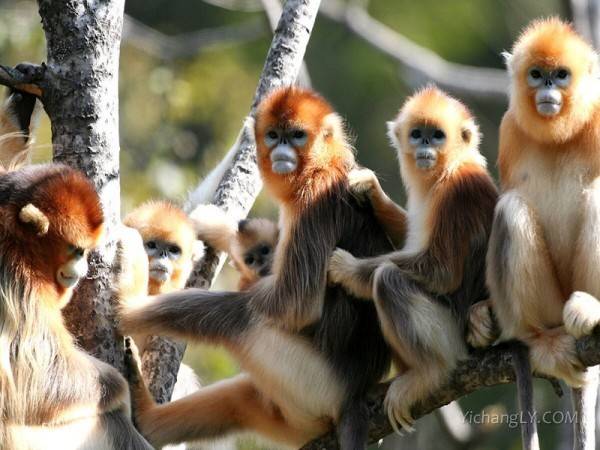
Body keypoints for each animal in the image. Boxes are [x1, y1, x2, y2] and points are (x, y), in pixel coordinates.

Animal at [0, 163, 152, 448]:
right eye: (77, 250)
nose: (81, 271)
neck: (16, 240)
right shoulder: (21, 283)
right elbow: (36, 380)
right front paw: (123, 390)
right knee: (111, 422)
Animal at [120, 87, 396, 450]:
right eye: (273, 135)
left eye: (297, 135)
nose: (281, 151)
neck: (324, 165)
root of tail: (354, 396)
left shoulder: (313, 200)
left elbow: (295, 305)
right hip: (292, 412)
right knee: (236, 400)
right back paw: (148, 419)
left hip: (314, 384)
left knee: (240, 318)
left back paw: (125, 309)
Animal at [326, 85, 500, 432]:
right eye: (417, 134)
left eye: (437, 136)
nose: (424, 146)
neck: (447, 169)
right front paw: (370, 188)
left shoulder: (458, 194)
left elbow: (442, 272)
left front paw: (346, 268)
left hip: (449, 335)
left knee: (387, 280)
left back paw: (427, 375)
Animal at [486, 17, 600, 450]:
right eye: (536, 74)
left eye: (561, 75)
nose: (547, 90)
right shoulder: (508, 129)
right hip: (551, 304)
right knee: (511, 209)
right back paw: (541, 342)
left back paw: (591, 308)